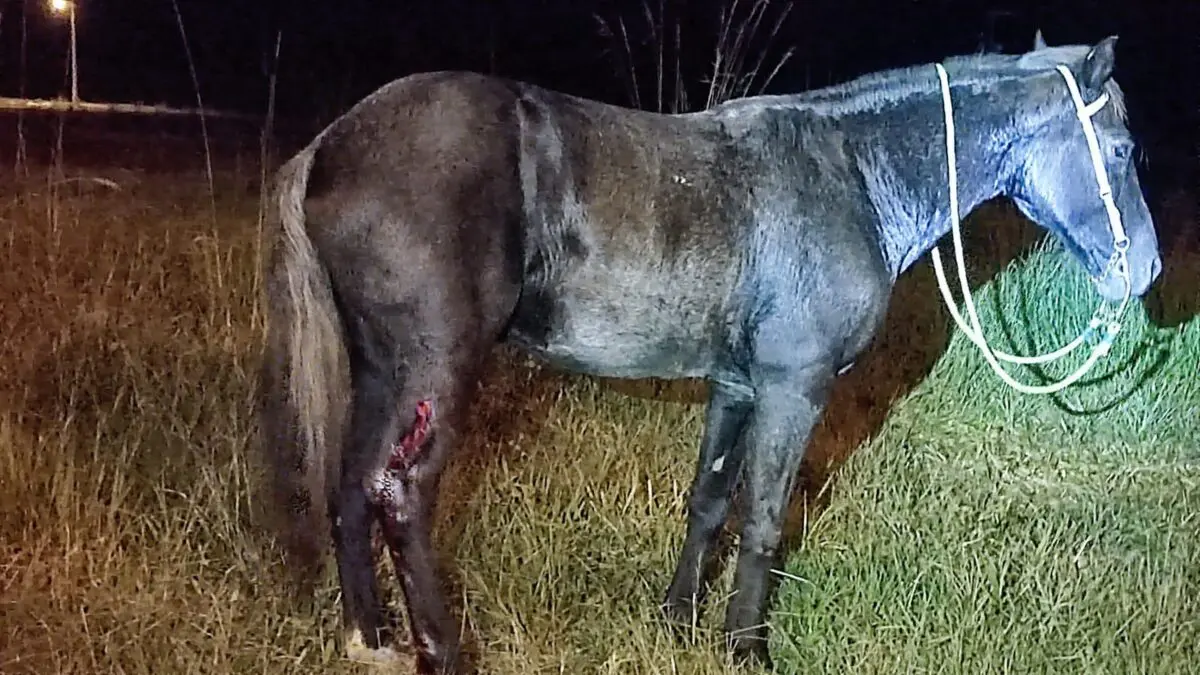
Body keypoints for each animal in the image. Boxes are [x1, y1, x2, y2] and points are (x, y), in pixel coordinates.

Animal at [260, 34, 1161, 667]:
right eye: (1121, 149)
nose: (1145, 269)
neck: (849, 172)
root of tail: (329, 148)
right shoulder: (796, 389)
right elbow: (763, 517)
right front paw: (745, 648)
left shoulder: (738, 385)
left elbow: (710, 500)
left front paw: (679, 620)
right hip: (437, 369)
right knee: (401, 492)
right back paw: (439, 649)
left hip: (383, 371)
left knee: (352, 484)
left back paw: (372, 638)